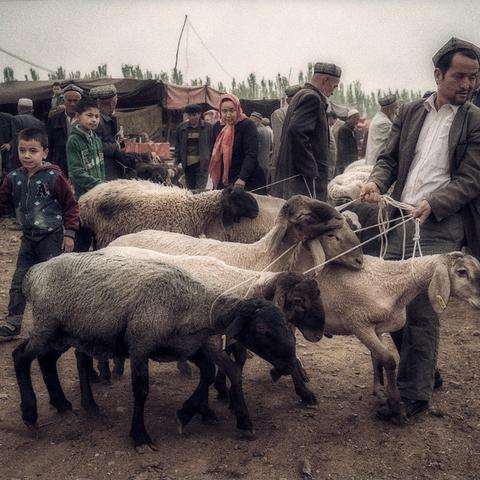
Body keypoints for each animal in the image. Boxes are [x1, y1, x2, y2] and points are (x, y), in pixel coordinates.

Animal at [12, 253, 296, 448]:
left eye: (285, 323)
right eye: (262, 329)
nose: (289, 364)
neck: (193, 303)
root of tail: (34, 272)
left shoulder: (185, 347)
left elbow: (208, 373)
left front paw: (186, 414)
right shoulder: (140, 344)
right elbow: (141, 389)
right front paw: (140, 436)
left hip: (63, 333)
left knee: (46, 359)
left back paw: (62, 404)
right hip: (47, 324)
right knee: (21, 356)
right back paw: (30, 415)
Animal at [316, 253, 480, 422]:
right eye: (462, 271)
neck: (392, 282)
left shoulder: (377, 328)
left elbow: (377, 359)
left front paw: (380, 393)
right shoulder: (358, 324)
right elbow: (388, 360)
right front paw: (395, 406)